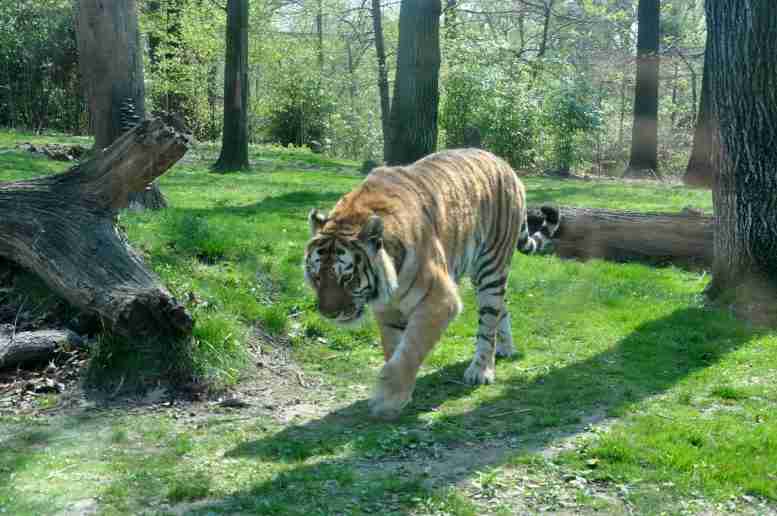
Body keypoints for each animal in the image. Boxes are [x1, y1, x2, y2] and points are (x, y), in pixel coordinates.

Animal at [302, 148, 556, 420]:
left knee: (488, 321)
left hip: (491, 265)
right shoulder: (387, 309)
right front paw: (400, 394)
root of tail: (504, 163)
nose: (329, 314)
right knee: (502, 306)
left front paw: (387, 400)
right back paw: (505, 349)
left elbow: (410, 350)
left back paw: (481, 370)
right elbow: (394, 349)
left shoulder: (440, 301)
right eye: (317, 277)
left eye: (347, 278)